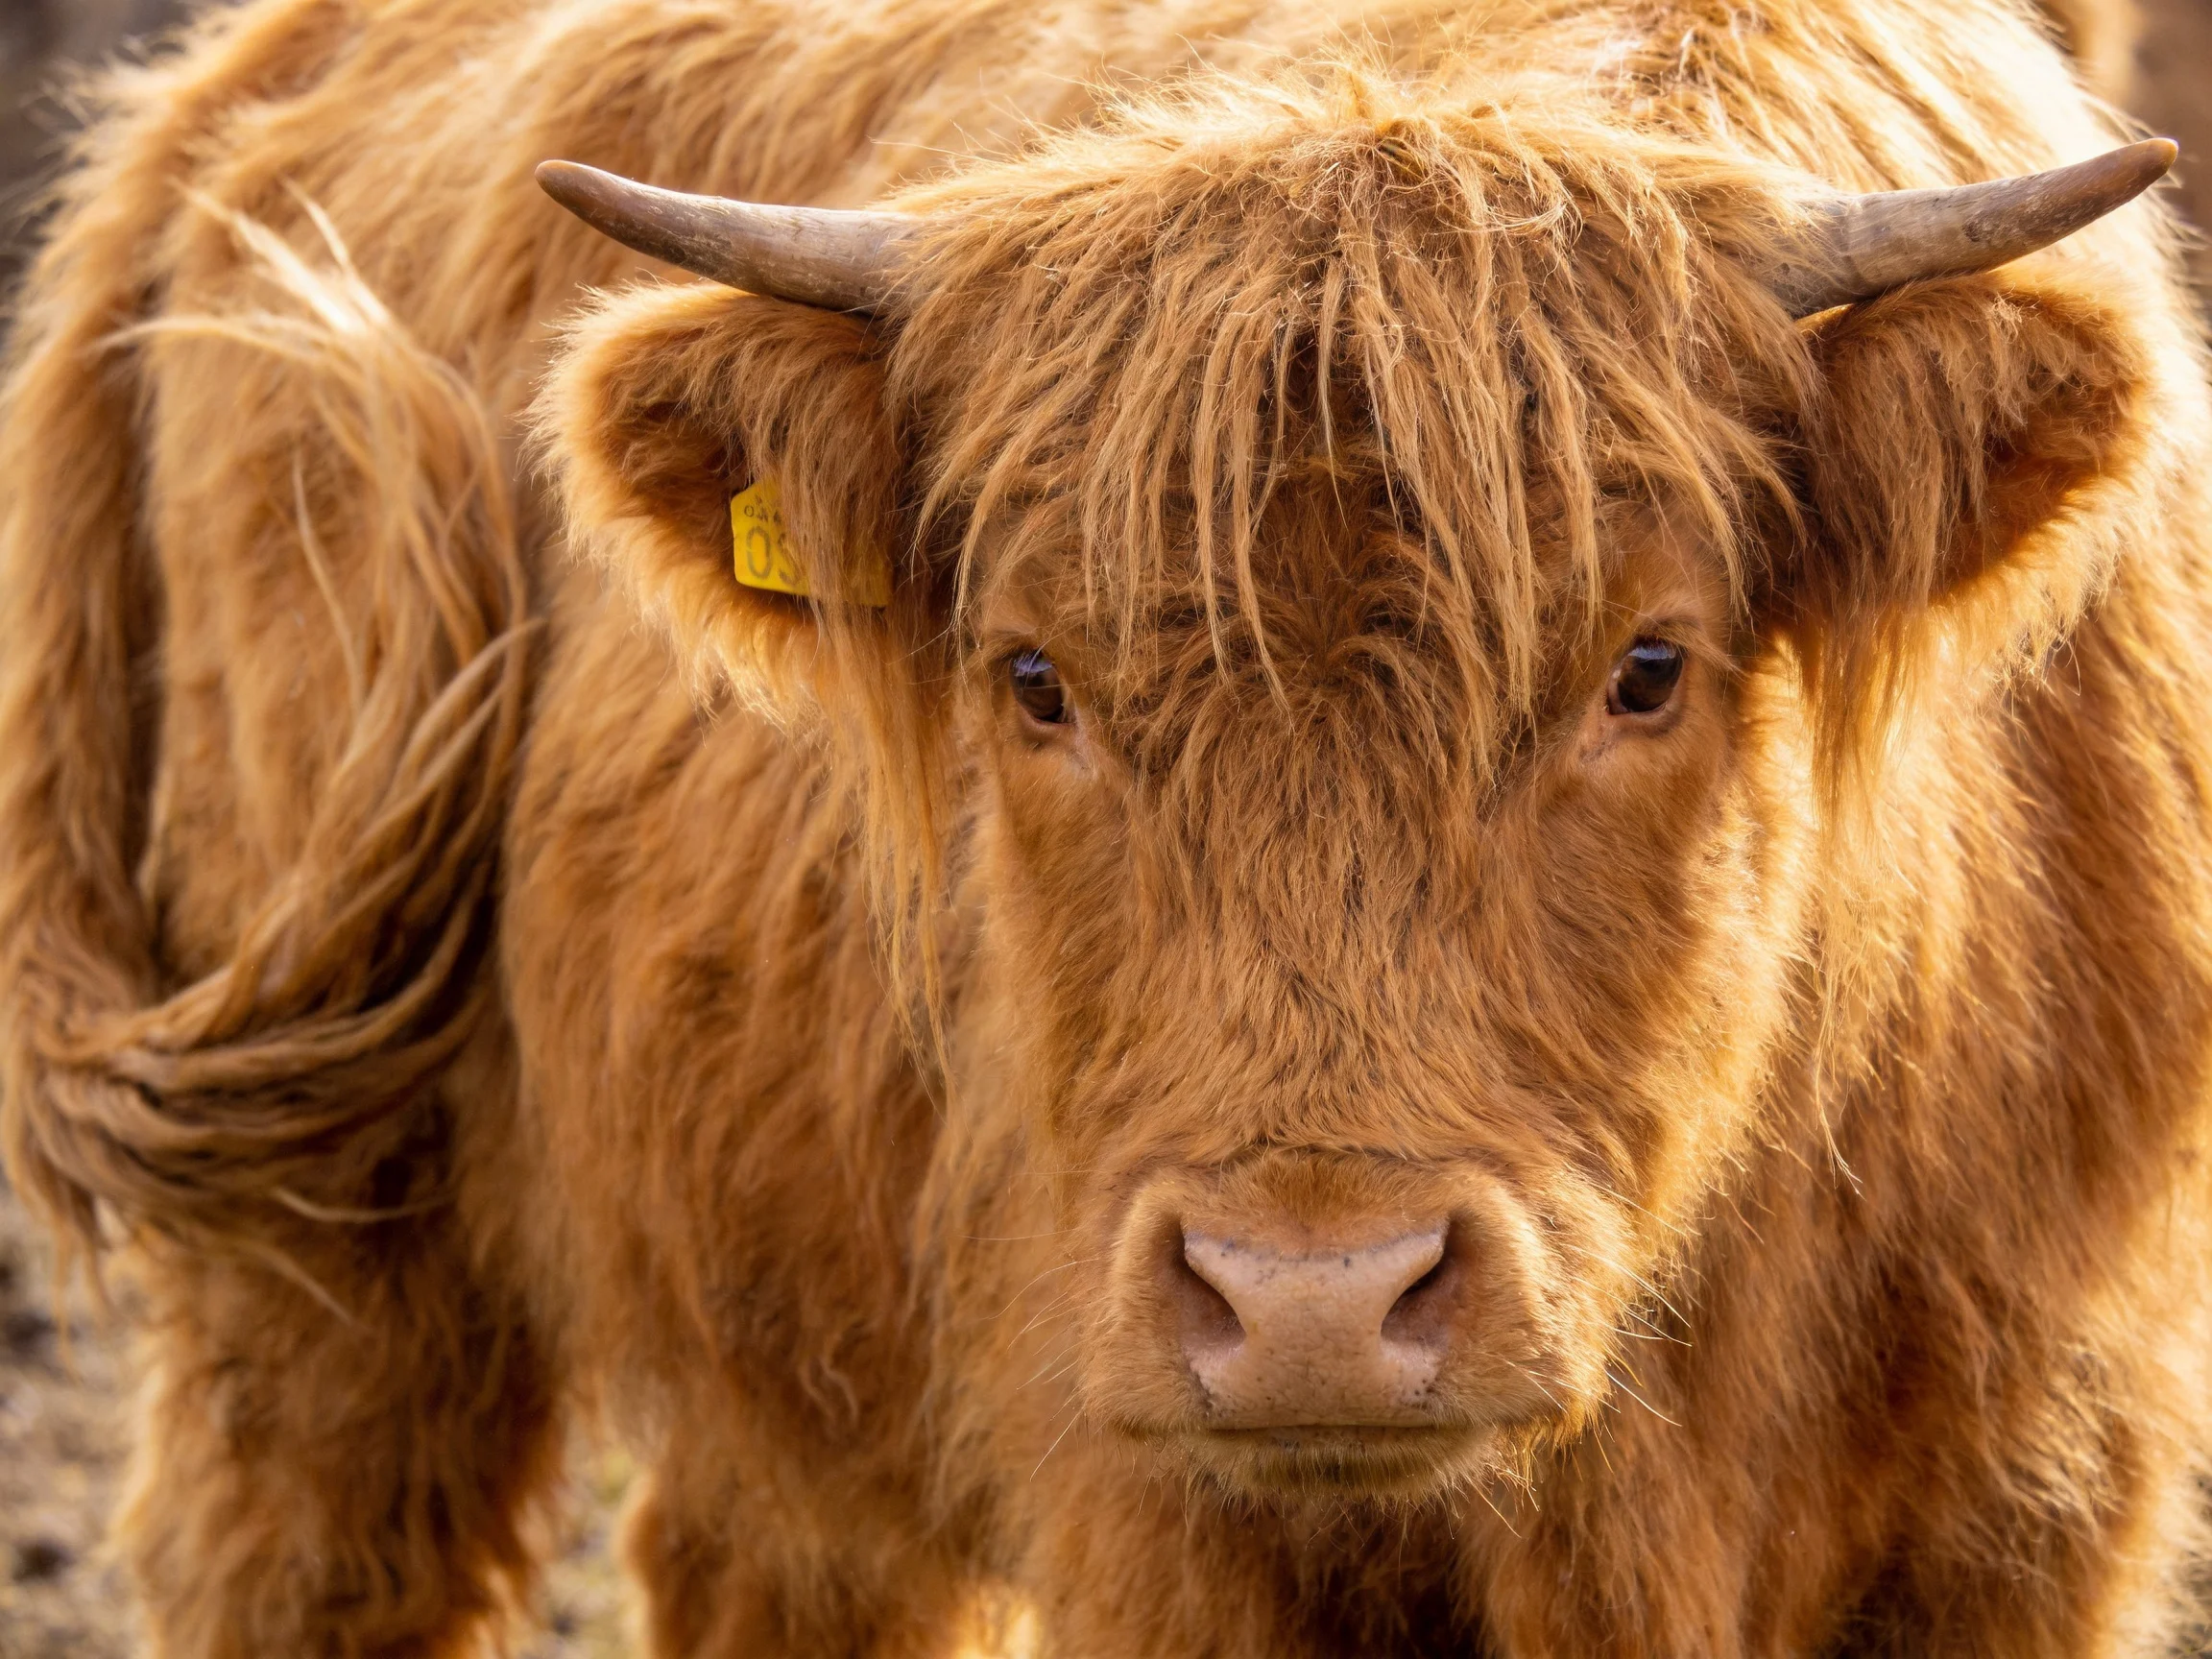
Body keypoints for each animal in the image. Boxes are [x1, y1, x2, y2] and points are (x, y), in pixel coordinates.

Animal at [2, 0, 2209, 1653]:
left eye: (1647, 665)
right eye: (1033, 680)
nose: (1313, 1302)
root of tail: (219, 95)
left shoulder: (2041, 1497)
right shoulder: (1151, 1507)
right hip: (329, 1264)